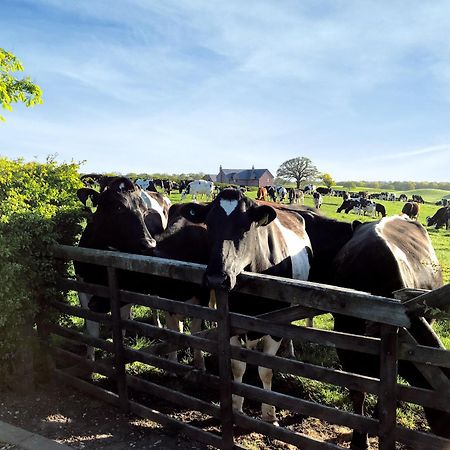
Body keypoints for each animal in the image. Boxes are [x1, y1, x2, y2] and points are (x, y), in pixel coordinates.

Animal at [178, 189, 312, 426]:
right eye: (209, 224)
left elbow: (266, 370)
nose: (216, 277)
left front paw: (270, 415)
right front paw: (237, 408)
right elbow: (237, 366)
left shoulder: (275, 325)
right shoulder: (232, 323)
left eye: (245, 226)